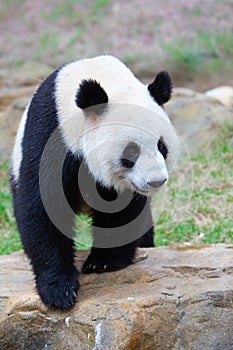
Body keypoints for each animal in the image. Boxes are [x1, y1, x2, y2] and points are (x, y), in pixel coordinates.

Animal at [10, 54, 180, 308]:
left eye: (162, 146)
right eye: (131, 152)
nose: (156, 181)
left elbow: (123, 210)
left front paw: (104, 261)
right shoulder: (51, 135)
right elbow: (42, 207)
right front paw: (59, 289)